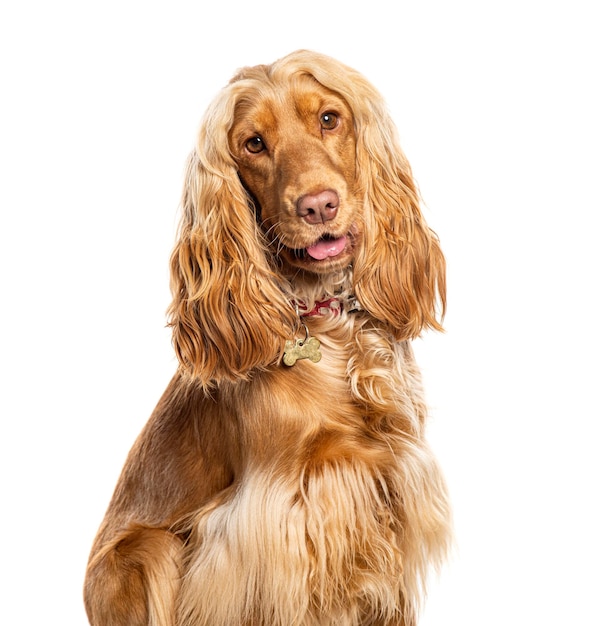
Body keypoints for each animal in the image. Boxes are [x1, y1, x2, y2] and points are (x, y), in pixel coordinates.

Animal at [85, 50, 452, 624]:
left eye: (329, 118)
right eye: (254, 143)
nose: (319, 205)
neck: (328, 321)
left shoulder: (394, 481)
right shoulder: (276, 526)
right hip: (147, 551)